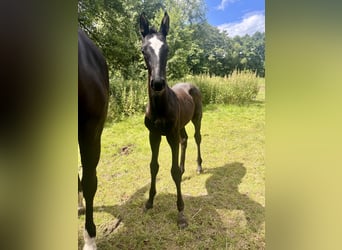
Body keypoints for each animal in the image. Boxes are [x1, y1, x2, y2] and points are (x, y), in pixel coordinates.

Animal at [140, 12, 203, 229]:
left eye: (166, 48)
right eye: (144, 49)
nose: (158, 83)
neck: (160, 107)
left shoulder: (171, 135)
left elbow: (173, 171)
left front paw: (181, 213)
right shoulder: (154, 135)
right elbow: (153, 166)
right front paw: (149, 202)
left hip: (196, 118)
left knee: (197, 138)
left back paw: (199, 166)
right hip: (180, 127)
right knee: (185, 139)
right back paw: (185, 169)